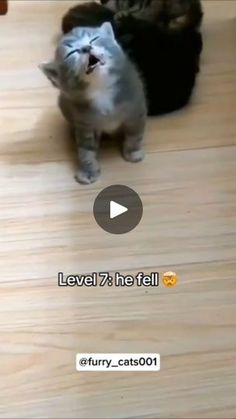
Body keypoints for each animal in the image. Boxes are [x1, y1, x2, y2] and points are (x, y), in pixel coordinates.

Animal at [39, 22, 147, 184]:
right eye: (71, 52)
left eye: (94, 39)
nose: (86, 48)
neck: (102, 89)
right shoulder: (84, 121)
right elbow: (85, 149)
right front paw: (88, 169)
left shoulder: (136, 107)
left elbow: (134, 132)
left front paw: (133, 151)